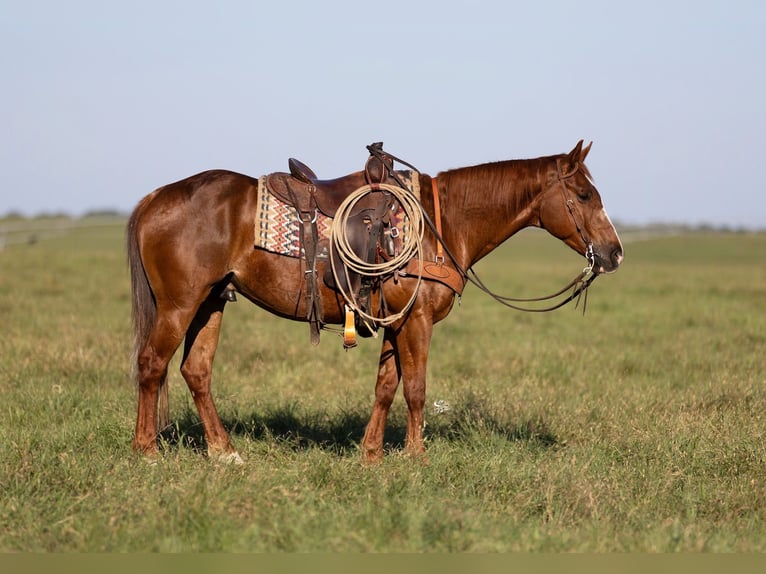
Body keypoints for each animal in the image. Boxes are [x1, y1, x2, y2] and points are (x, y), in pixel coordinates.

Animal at [127, 142, 624, 466]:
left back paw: (224, 452)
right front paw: (416, 456)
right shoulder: (417, 321)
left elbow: (386, 387)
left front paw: (372, 455)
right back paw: (147, 451)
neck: (441, 224)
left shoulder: (395, 322)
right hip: (179, 305)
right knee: (152, 364)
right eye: (584, 195)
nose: (615, 253)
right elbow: (416, 389)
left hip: (212, 302)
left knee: (196, 371)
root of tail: (154, 197)